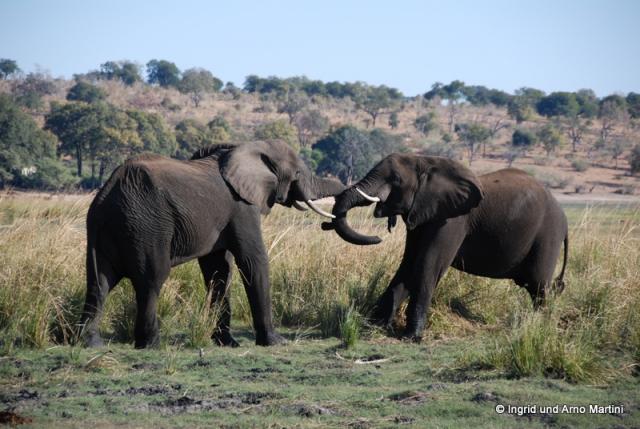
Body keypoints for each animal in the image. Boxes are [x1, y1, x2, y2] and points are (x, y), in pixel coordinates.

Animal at [80, 140, 344, 348]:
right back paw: (152, 344)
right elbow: (252, 260)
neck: (247, 147)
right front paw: (275, 342)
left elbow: (218, 270)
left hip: (102, 227)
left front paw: (228, 343)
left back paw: (91, 344)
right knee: (151, 280)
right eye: (298, 173)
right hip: (146, 225)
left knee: (98, 283)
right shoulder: (242, 206)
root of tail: (109, 191)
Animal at [322, 154, 568, 342]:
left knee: (539, 287)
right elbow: (408, 264)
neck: (425, 161)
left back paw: (540, 327)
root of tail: (564, 219)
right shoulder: (421, 215)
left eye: (396, 179)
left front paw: (411, 337)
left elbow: (427, 265)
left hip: (548, 235)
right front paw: (376, 325)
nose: (378, 237)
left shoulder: (452, 220)